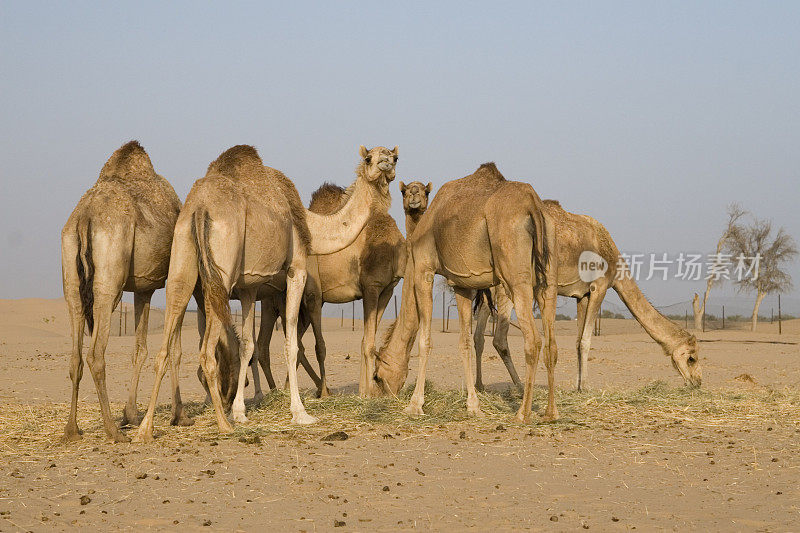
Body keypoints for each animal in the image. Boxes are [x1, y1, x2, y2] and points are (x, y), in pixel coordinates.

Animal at [61, 140, 183, 440]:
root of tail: (85, 217)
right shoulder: (168, 278)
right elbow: (173, 348)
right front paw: (180, 416)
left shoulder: (143, 286)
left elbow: (139, 350)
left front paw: (131, 415)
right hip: (109, 278)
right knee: (95, 355)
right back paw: (112, 431)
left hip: (71, 273)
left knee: (75, 354)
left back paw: (72, 430)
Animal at [135, 143, 396, 438]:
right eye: (369, 158)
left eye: (394, 157)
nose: (386, 163)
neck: (311, 225)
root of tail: (200, 207)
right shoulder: (297, 268)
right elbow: (292, 343)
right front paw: (300, 413)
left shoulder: (248, 287)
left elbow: (248, 346)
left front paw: (241, 411)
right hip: (222, 269)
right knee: (206, 352)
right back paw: (223, 423)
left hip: (182, 256)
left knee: (167, 340)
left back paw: (145, 429)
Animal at [374, 162, 556, 420]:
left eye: (377, 376)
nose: (380, 395)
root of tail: (533, 204)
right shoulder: (461, 284)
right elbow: (465, 342)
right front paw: (473, 405)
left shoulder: (423, 269)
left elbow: (425, 339)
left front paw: (415, 405)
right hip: (548, 272)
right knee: (551, 342)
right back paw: (551, 412)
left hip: (514, 273)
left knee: (533, 339)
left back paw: (522, 413)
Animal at [472, 200, 704, 390]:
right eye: (691, 358)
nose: (697, 381)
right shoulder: (598, 287)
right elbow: (586, 340)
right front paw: (585, 387)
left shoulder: (581, 295)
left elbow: (577, 341)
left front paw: (577, 385)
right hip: (509, 284)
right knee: (499, 339)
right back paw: (519, 386)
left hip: (488, 289)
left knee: (478, 335)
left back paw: (480, 386)